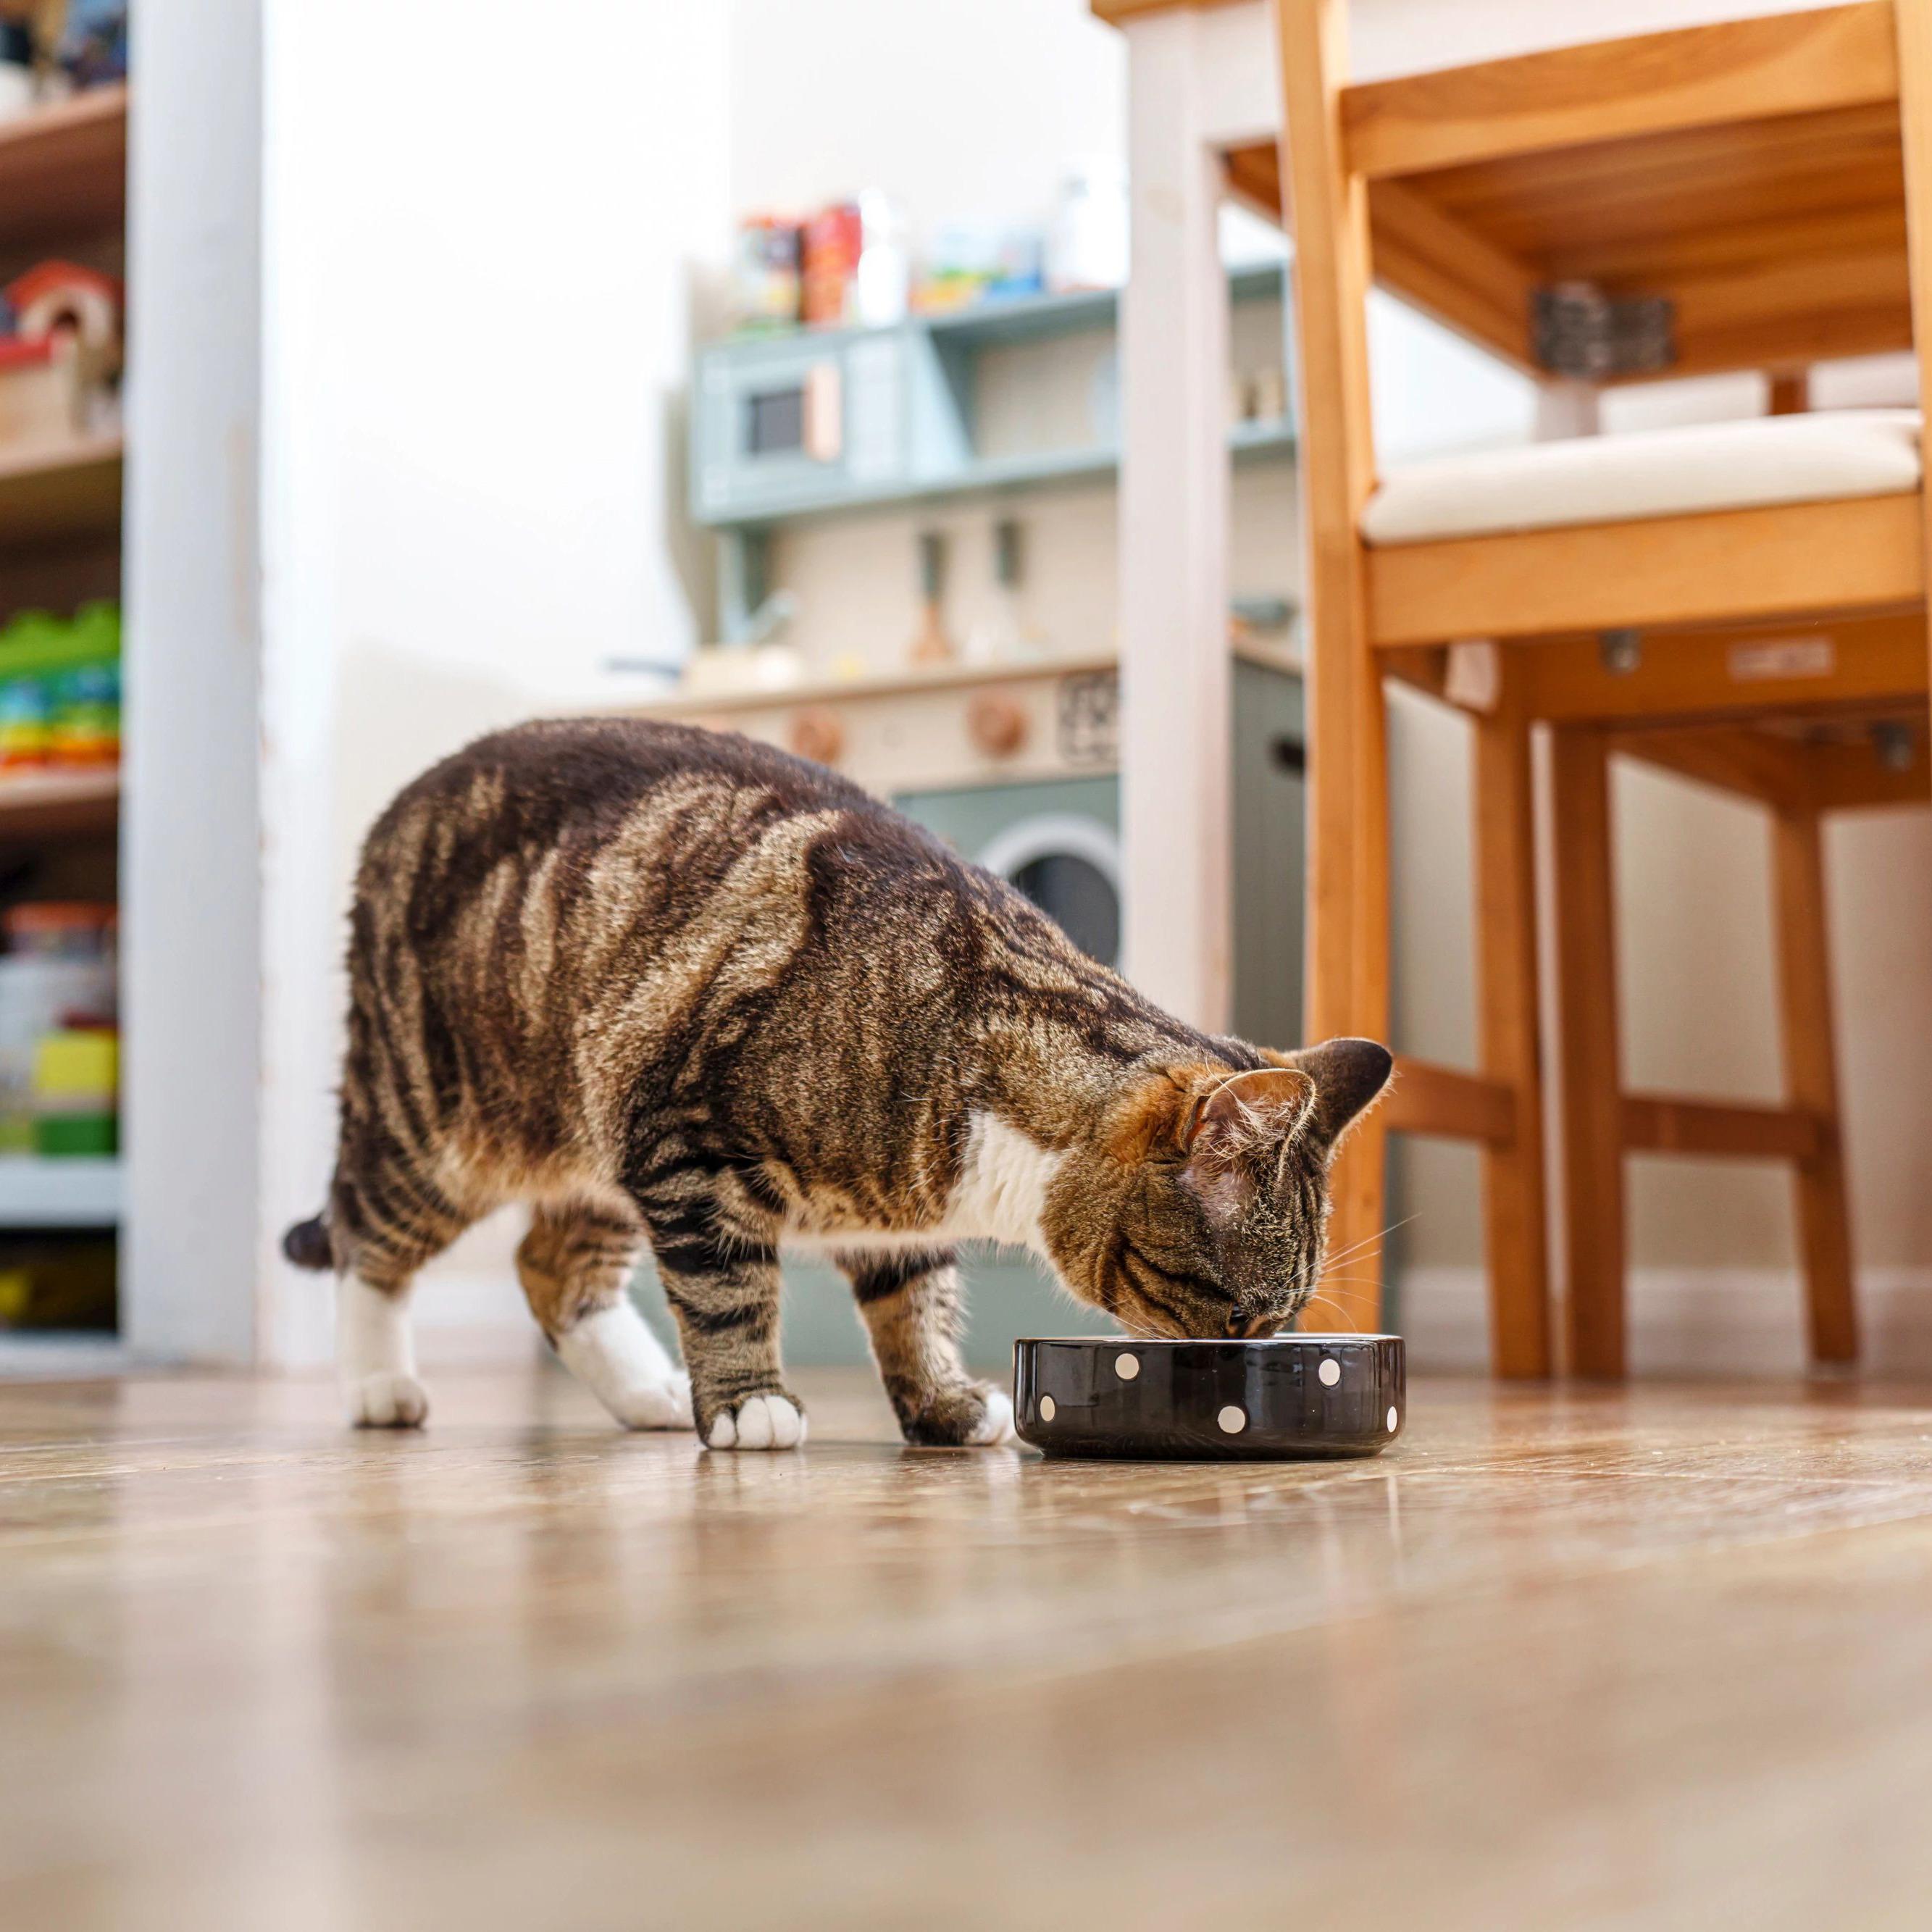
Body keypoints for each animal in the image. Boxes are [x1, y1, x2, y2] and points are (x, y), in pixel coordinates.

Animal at [282, 722, 1391, 1452]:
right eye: (1239, 1316)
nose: (1250, 1359)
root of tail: (408, 799)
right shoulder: (682, 1145)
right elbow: (729, 1289)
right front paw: (747, 1404)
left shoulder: (892, 1211)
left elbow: (916, 1304)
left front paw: (940, 1402)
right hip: (437, 1120)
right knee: (368, 1237)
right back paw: (380, 1383)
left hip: (594, 1138)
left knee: (552, 1267)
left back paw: (647, 1391)